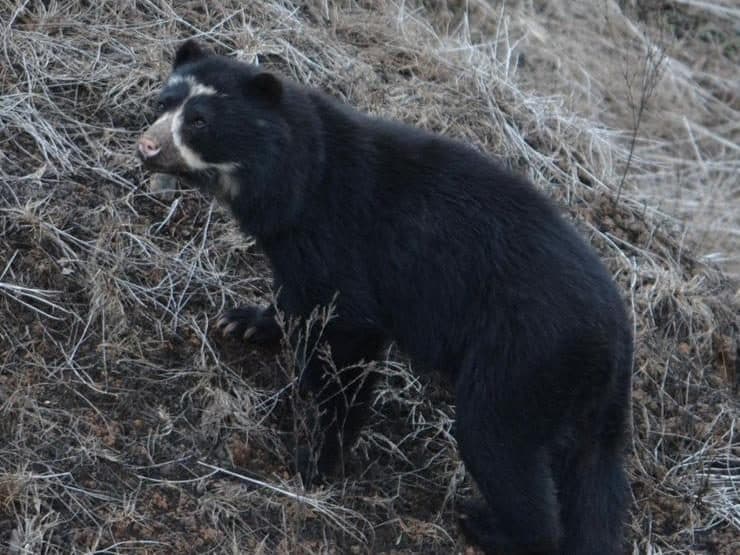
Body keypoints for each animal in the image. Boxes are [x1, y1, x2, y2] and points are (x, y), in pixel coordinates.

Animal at [137, 39, 633, 555]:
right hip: (583, 403)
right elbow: (298, 298)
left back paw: (487, 525)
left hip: (522, 359)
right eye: (162, 103)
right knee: (594, 484)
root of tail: (618, 339)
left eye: (199, 121)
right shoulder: (296, 249)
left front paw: (317, 460)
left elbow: (348, 344)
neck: (290, 182)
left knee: (495, 440)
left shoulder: (337, 242)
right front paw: (244, 321)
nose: (147, 147)